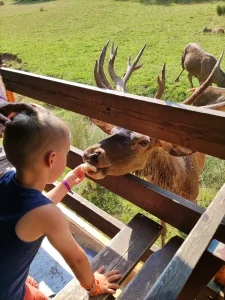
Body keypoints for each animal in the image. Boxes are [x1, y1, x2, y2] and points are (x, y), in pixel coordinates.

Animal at [83, 41, 225, 247]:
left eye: (144, 141)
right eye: (113, 130)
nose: (91, 154)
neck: (174, 188)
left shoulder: (194, 199)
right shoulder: (160, 206)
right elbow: (163, 229)